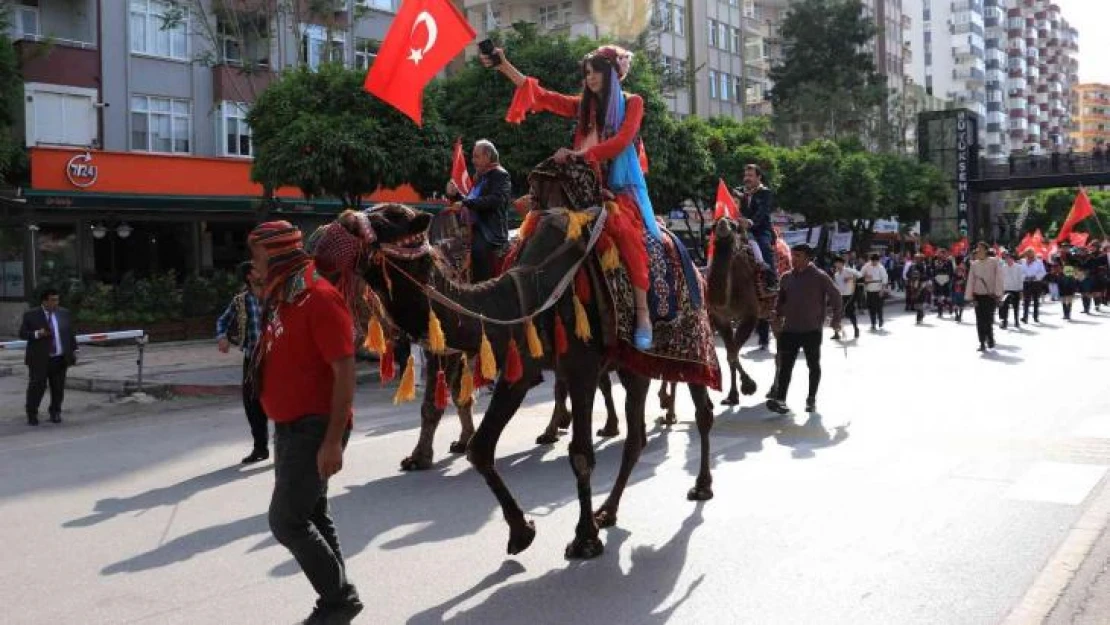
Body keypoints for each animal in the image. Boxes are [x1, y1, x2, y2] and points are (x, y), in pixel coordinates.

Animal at [652, 215, 768, 419]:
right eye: (714, 225)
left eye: (734, 225)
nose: (722, 225)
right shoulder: (720, 318)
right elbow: (730, 355)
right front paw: (734, 394)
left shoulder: (750, 315)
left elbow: (732, 354)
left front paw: (747, 386)